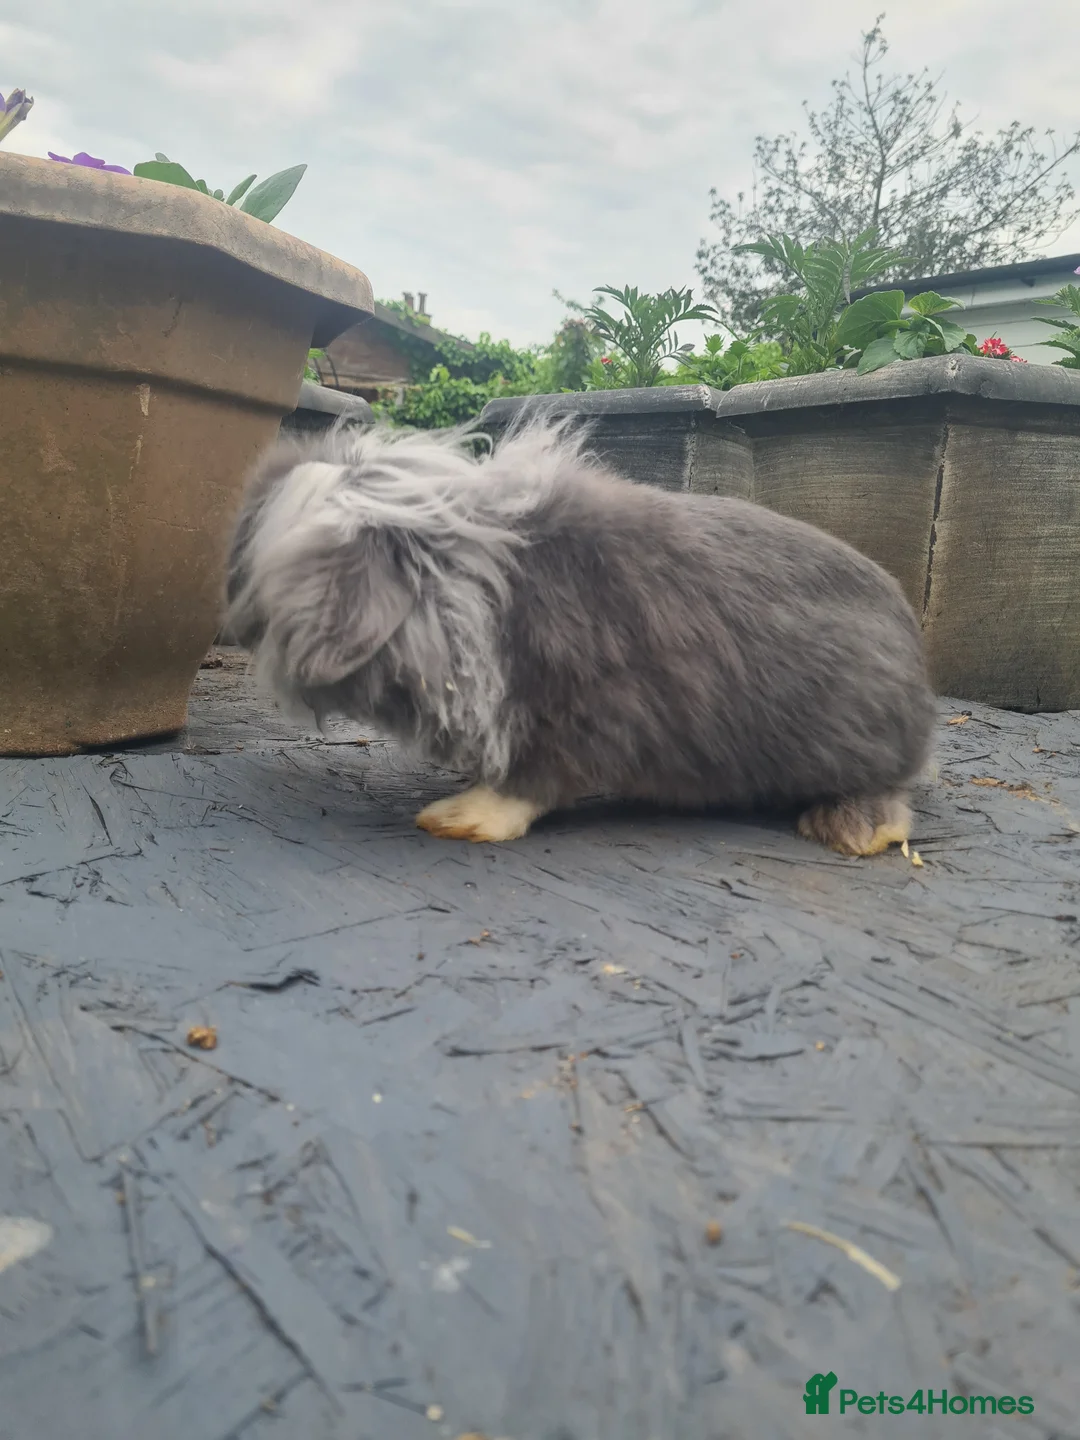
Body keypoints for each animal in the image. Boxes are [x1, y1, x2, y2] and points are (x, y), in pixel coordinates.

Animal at [225, 414, 935, 855]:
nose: (238, 622)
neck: (462, 594)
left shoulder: (572, 716)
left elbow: (532, 784)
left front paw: (455, 820)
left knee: (890, 796)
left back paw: (847, 832)